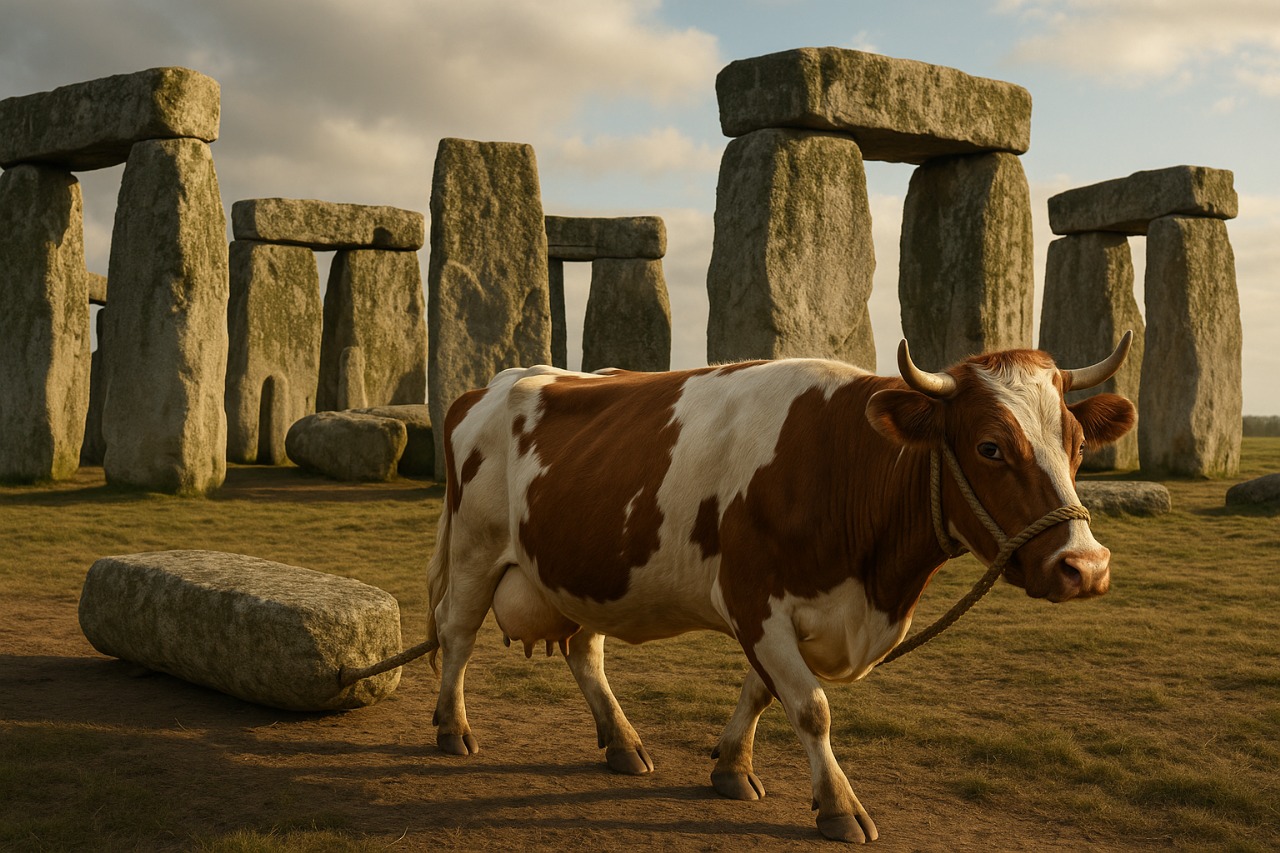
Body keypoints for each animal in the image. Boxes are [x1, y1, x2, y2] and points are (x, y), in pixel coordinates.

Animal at [423, 336, 1136, 843]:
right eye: (990, 447)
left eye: (1076, 444)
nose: (1086, 567)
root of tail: (495, 383)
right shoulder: (753, 598)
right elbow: (811, 706)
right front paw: (839, 807)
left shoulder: (782, 614)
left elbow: (763, 693)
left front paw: (732, 766)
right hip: (476, 549)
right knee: (457, 635)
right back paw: (453, 728)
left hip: (586, 570)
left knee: (584, 652)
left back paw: (622, 741)